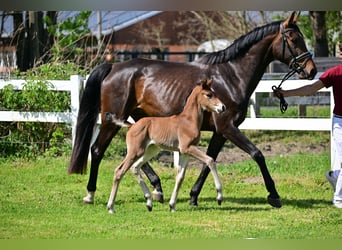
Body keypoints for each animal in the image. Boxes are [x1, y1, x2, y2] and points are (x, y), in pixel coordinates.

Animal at [105, 78, 226, 213]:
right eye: (209, 95)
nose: (223, 107)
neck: (188, 120)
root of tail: (132, 125)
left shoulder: (184, 152)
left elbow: (180, 177)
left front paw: (172, 205)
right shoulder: (188, 148)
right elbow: (210, 160)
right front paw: (219, 196)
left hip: (150, 151)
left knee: (135, 167)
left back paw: (149, 202)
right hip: (135, 151)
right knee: (119, 171)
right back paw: (111, 207)